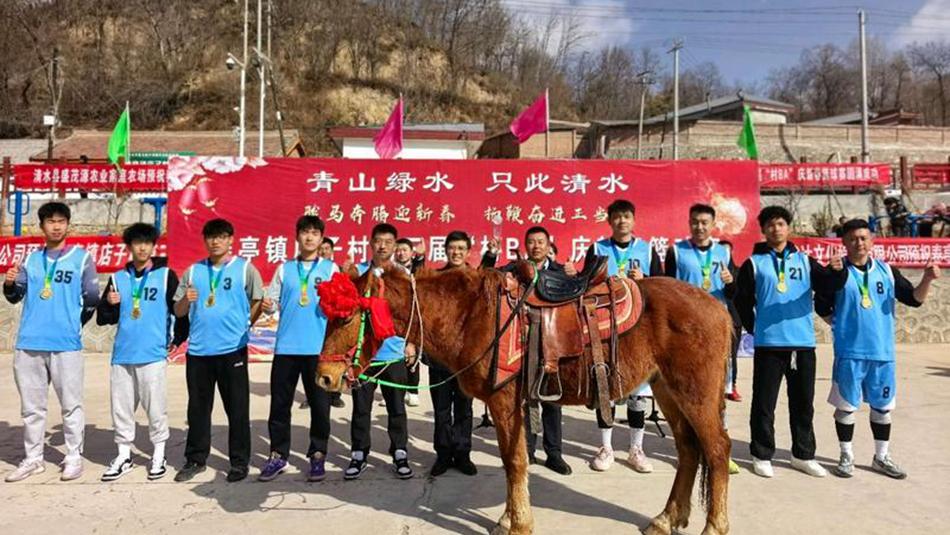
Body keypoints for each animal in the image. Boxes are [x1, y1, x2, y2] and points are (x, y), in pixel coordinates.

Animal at [316, 263, 733, 535]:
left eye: (347, 317)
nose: (324, 377)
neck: (471, 314)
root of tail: (719, 307)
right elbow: (515, 459)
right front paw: (508, 518)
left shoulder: (503, 402)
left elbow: (514, 461)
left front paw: (517, 523)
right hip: (667, 388)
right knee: (689, 449)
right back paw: (666, 519)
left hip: (694, 391)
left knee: (716, 449)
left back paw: (713, 526)